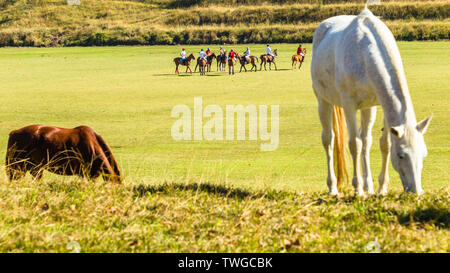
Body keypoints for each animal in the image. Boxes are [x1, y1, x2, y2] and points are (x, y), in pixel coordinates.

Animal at [310, 7, 432, 196]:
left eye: (423, 153)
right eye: (401, 155)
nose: (416, 191)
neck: (364, 53)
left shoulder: (380, 103)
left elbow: (384, 144)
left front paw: (381, 188)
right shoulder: (348, 104)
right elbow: (354, 143)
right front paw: (358, 189)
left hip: (368, 108)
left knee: (366, 140)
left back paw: (369, 186)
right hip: (323, 100)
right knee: (329, 139)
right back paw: (333, 187)